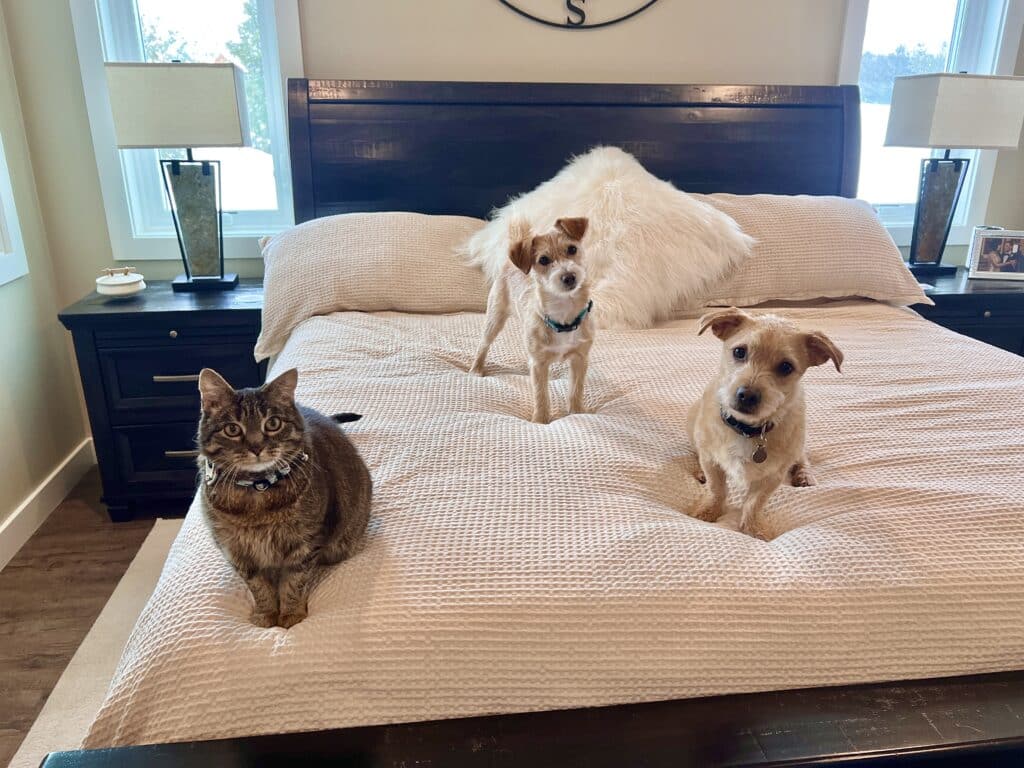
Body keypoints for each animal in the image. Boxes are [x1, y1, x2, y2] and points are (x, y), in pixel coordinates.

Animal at [195, 370, 372, 626]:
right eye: (232, 429)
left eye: (273, 424)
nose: (256, 447)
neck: (257, 491)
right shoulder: (236, 551)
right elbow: (258, 587)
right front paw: (266, 614)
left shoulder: (305, 544)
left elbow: (294, 582)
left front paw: (291, 614)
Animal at [468, 217, 593, 423]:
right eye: (543, 260)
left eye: (572, 249)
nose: (569, 276)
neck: (563, 313)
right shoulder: (539, 363)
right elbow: (541, 394)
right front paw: (540, 420)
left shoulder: (580, 358)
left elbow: (576, 389)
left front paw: (577, 412)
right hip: (494, 319)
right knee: (483, 345)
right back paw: (476, 369)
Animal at [684, 309, 843, 540]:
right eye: (739, 352)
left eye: (786, 366)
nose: (747, 395)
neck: (747, 430)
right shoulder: (712, 461)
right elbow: (717, 489)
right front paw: (708, 511)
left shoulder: (772, 476)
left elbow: (754, 502)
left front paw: (753, 528)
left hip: (798, 442)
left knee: (802, 457)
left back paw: (805, 475)